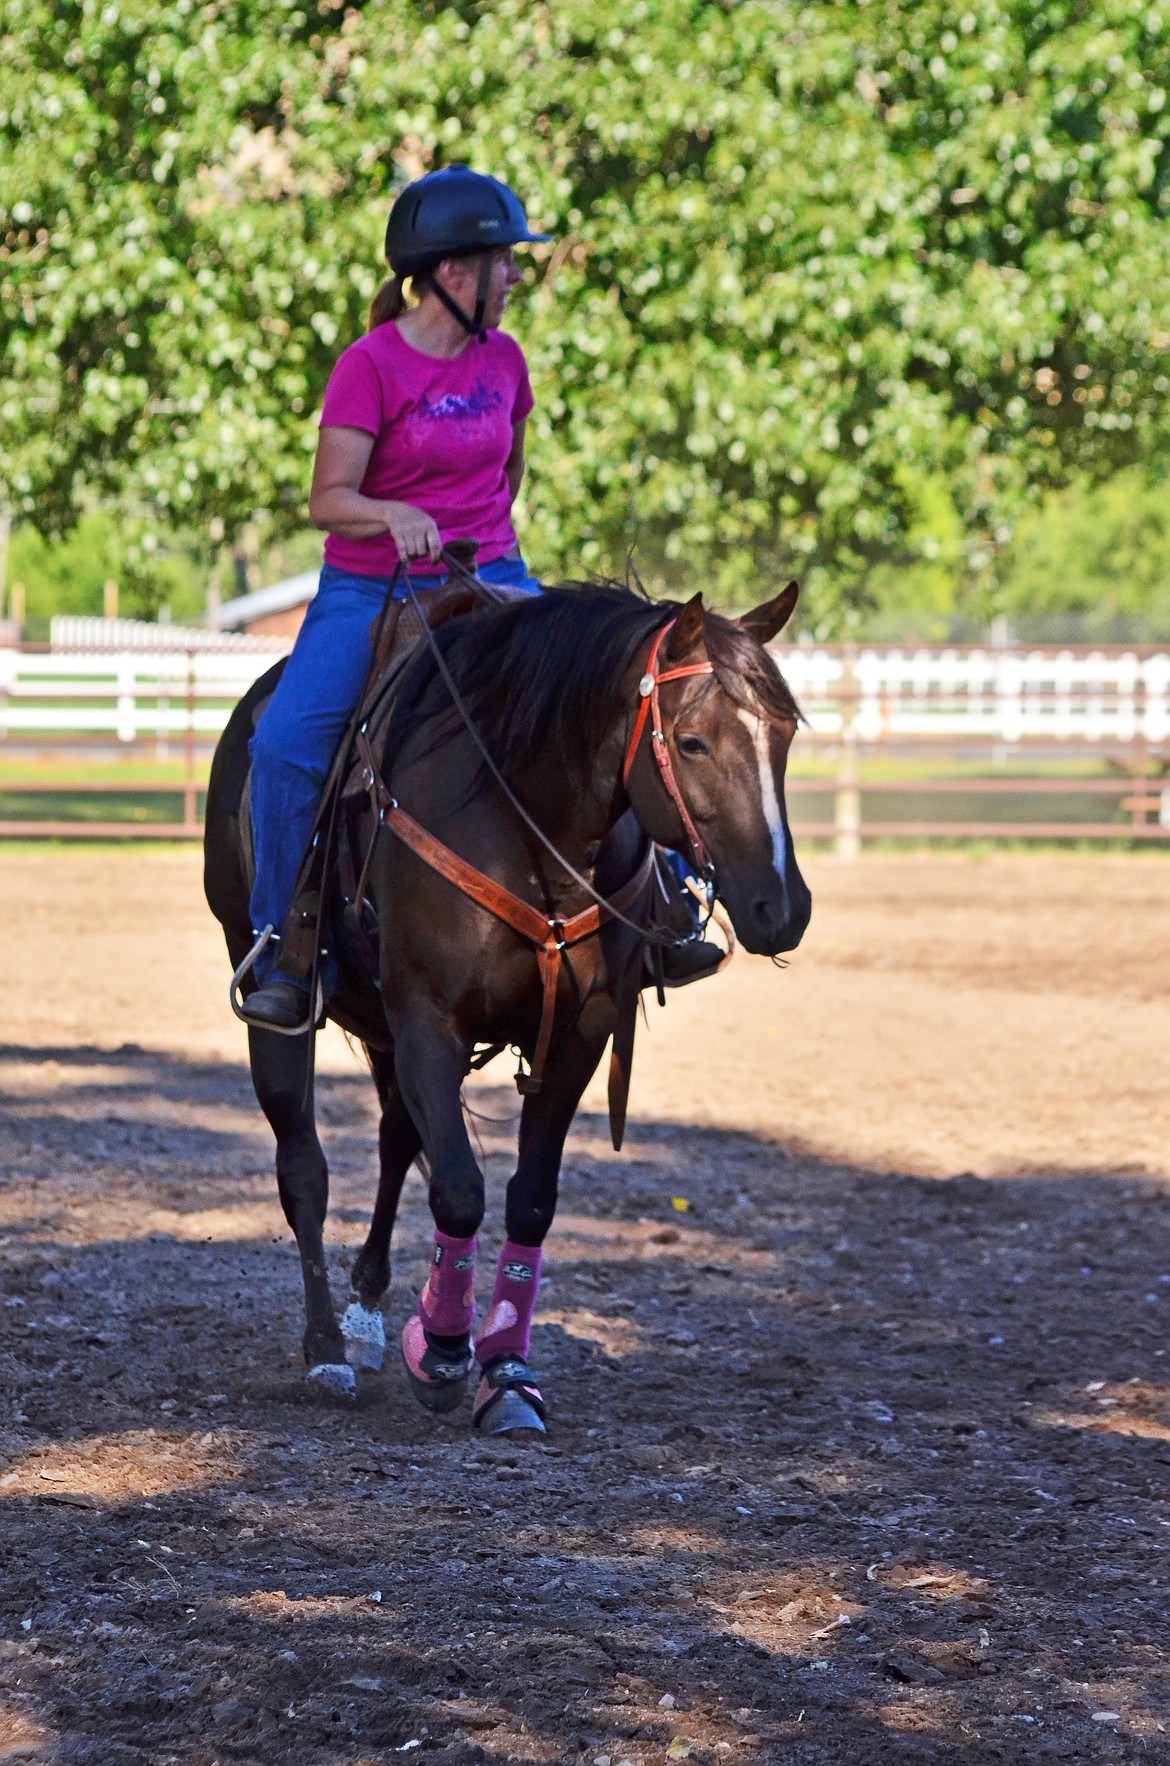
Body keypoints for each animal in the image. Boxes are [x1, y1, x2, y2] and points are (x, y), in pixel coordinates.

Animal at [205, 586, 811, 1426]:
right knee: (305, 1167)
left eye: (784, 733)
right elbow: (460, 1190)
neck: (521, 815)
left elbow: (527, 1200)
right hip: (269, 983)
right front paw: (442, 1352)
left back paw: (367, 1313)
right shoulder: (429, 1023)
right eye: (691, 742)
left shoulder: (579, 1037)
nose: (782, 908)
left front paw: (507, 1370)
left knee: (396, 1142)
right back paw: (327, 1348)